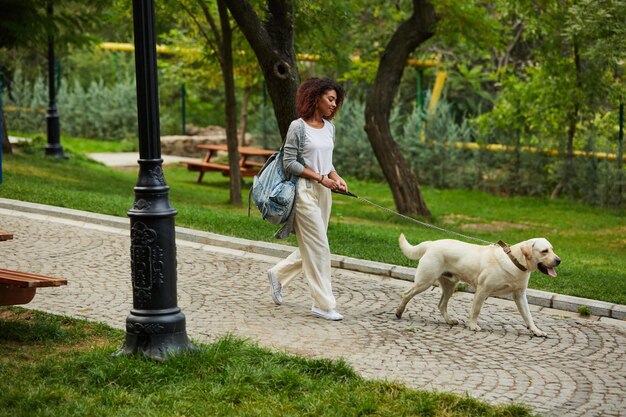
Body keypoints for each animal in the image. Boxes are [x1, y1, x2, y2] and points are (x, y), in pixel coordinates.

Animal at [392, 232, 560, 336]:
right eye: (544, 251)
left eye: (552, 249)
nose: (559, 260)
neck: (515, 261)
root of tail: (431, 243)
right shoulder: (483, 290)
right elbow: (476, 310)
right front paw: (473, 326)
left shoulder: (520, 295)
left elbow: (528, 316)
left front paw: (536, 330)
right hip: (425, 281)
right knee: (406, 294)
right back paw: (399, 312)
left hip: (450, 285)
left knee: (441, 305)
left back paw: (449, 320)